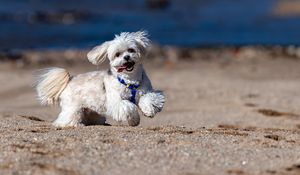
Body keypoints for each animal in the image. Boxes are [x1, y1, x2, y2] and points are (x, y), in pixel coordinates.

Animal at [36, 31, 166, 127]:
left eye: (131, 50)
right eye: (117, 54)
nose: (127, 57)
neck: (130, 80)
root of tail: (70, 80)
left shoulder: (146, 91)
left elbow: (149, 99)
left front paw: (148, 111)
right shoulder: (116, 102)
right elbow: (129, 108)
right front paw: (134, 120)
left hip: (91, 110)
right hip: (72, 107)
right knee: (67, 118)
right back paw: (72, 124)